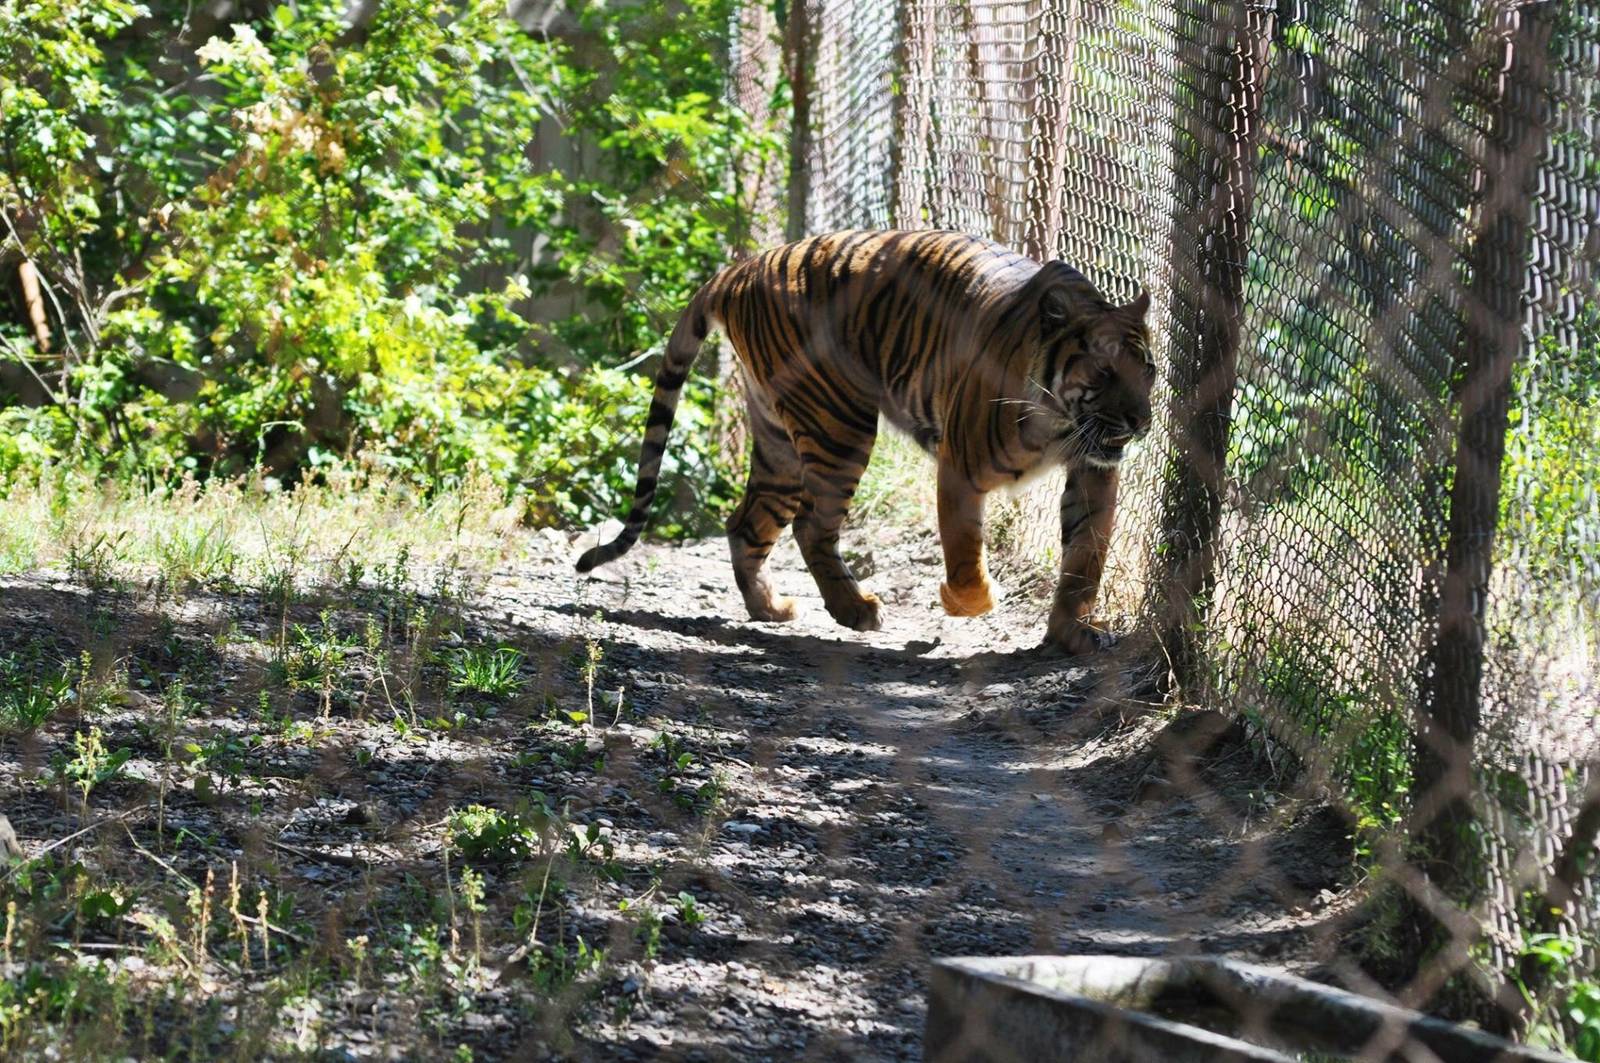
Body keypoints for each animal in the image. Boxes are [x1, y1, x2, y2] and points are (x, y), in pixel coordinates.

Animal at [576, 229, 1154, 655]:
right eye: (1104, 372)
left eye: (1148, 371)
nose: (1143, 421)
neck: (1060, 422)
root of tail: (740, 268)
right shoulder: (960, 467)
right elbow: (964, 554)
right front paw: (964, 600)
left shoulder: (1094, 471)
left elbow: (1085, 559)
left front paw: (1071, 632)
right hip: (839, 423)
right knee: (810, 525)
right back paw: (855, 609)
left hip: (781, 445)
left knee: (746, 523)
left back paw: (772, 609)